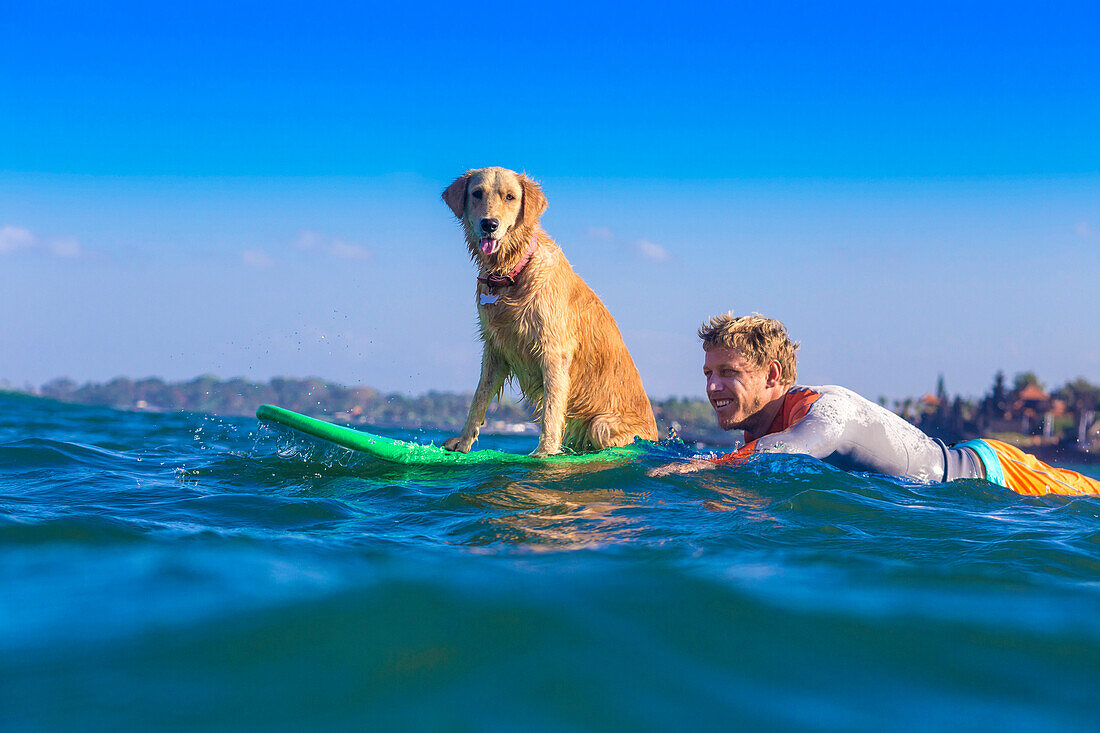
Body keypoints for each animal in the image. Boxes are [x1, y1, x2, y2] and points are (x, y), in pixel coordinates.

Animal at [442, 166, 655, 453]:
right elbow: (479, 399)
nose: (489, 224)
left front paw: (545, 452)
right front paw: (463, 443)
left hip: (601, 425)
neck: (513, 270)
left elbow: (552, 410)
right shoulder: (495, 349)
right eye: (477, 193)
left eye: (510, 197)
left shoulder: (553, 351)